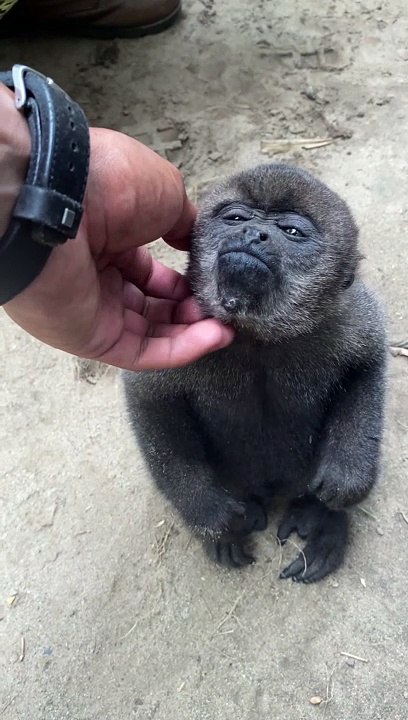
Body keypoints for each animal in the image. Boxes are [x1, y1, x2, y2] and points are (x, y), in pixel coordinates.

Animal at [123, 163, 386, 583]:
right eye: (235, 219)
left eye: (292, 231)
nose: (252, 234)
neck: (256, 336)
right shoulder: (174, 328)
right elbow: (148, 397)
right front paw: (208, 513)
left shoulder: (347, 315)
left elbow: (368, 363)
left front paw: (347, 477)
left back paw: (323, 520)